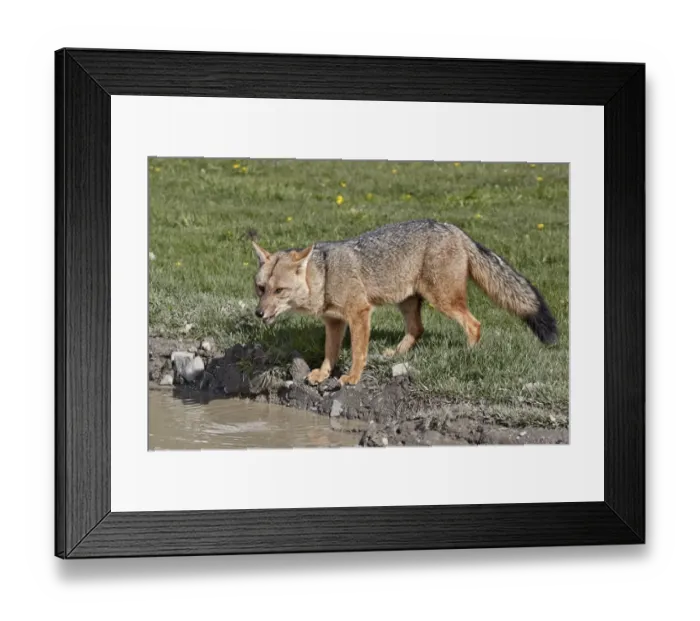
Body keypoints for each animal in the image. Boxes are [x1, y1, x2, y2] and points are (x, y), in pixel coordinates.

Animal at [252, 219, 557, 387]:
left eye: (279, 291)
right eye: (261, 289)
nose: (258, 313)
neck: (325, 275)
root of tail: (453, 228)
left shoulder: (359, 313)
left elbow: (358, 353)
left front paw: (352, 377)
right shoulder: (334, 321)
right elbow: (330, 353)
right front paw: (322, 374)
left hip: (443, 300)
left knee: (474, 324)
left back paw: (468, 354)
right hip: (407, 302)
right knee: (417, 330)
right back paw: (396, 355)